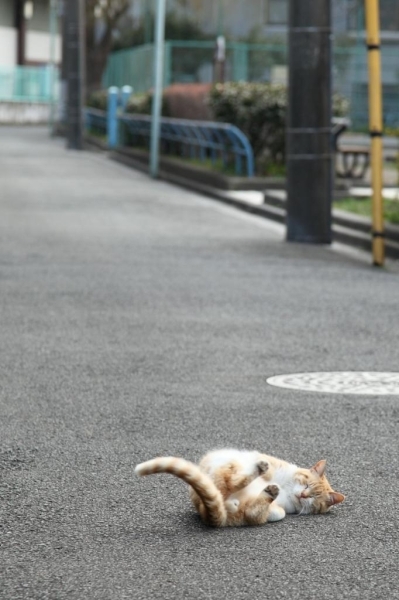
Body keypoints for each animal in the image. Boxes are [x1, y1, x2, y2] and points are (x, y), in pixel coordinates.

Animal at [134, 448, 344, 528]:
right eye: (307, 485)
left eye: (314, 498)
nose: (303, 494)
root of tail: (205, 510)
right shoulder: (272, 463)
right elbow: (269, 467)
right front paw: (266, 471)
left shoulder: (284, 508)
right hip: (228, 464)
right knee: (231, 480)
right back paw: (260, 472)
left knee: (248, 507)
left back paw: (267, 492)